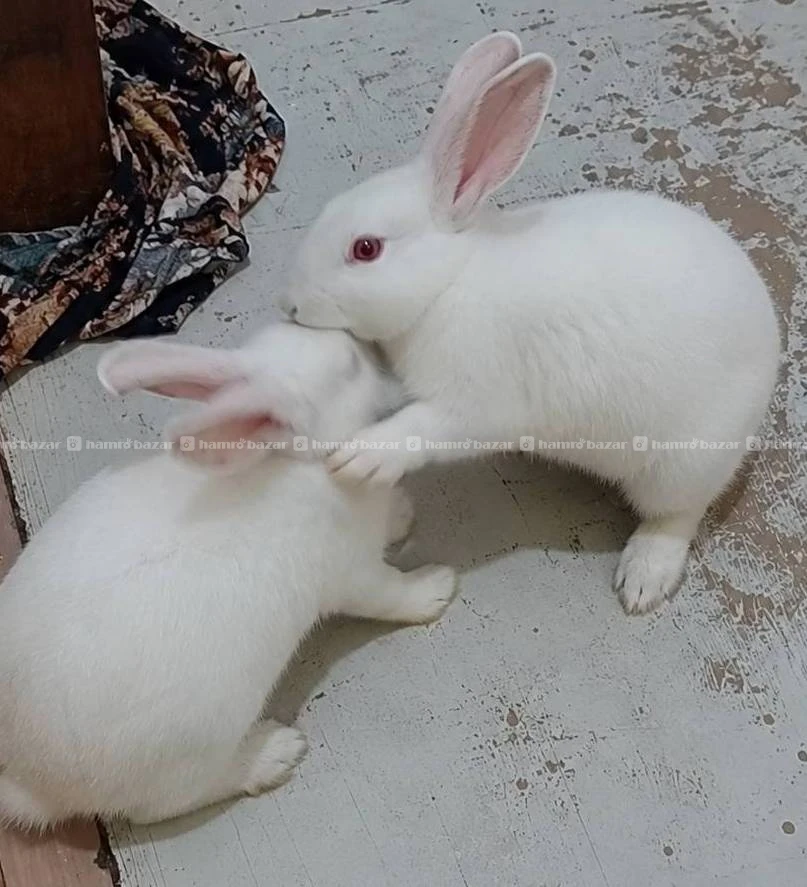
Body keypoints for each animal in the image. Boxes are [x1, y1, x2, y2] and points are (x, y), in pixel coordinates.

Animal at [0, 322, 457, 830]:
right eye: (350, 366)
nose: (374, 353)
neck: (297, 461)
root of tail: (32, 785)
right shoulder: (354, 574)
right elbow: (390, 595)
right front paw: (436, 589)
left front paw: (402, 514)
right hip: (192, 749)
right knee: (167, 803)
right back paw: (274, 754)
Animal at [284, 31, 780, 615]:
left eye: (366, 249)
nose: (290, 304)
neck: (449, 281)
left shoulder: (475, 405)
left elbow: (423, 428)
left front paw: (360, 459)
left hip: (680, 465)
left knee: (676, 516)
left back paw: (642, 581)